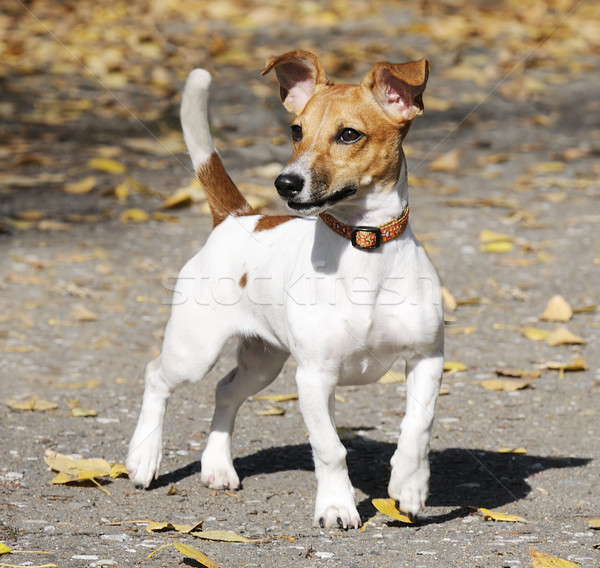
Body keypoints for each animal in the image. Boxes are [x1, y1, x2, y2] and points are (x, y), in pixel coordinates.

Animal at [127, 51, 446, 532]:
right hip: (194, 352)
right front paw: (336, 506)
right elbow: (330, 448)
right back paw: (143, 457)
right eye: (296, 130)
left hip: (264, 362)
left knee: (225, 391)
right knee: (155, 377)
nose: (285, 183)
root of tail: (237, 218)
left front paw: (409, 487)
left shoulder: (427, 359)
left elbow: (417, 428)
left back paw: (217, 466)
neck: (364, 244)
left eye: (349, 134)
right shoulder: (313, 376)